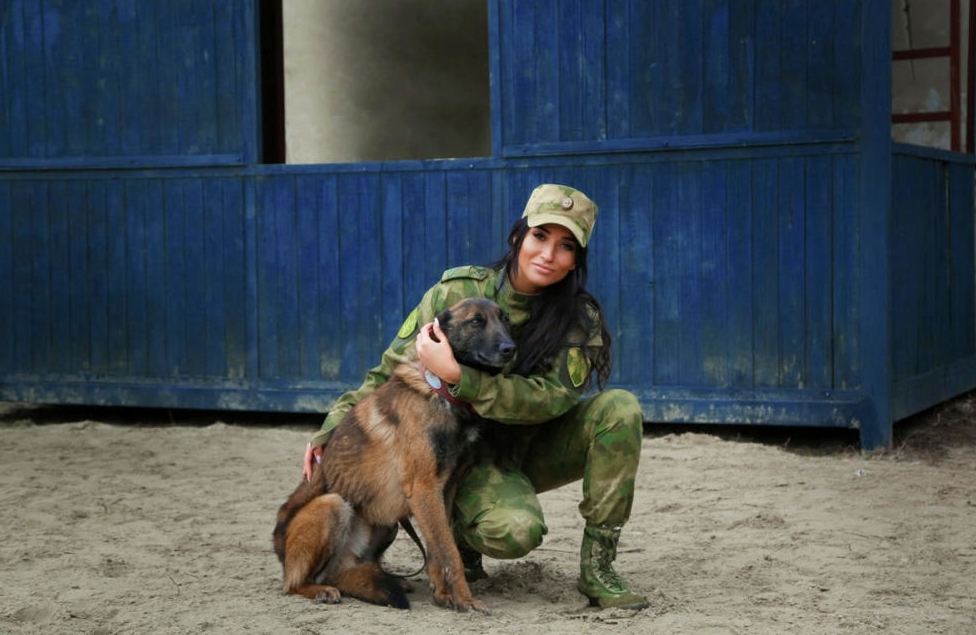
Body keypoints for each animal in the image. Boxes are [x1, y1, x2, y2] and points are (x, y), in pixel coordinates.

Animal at [270, 300, 516, 616]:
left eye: (505, 320)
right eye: (476, 321)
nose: (510, 348)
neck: (442, 390)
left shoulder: (443, 491)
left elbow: (437, 549)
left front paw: (443, 595)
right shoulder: (424, 489)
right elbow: (449, 553)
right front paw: (465, 599)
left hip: (386, 524)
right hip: (332, 506)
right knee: (293, 584)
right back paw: (319, 590)